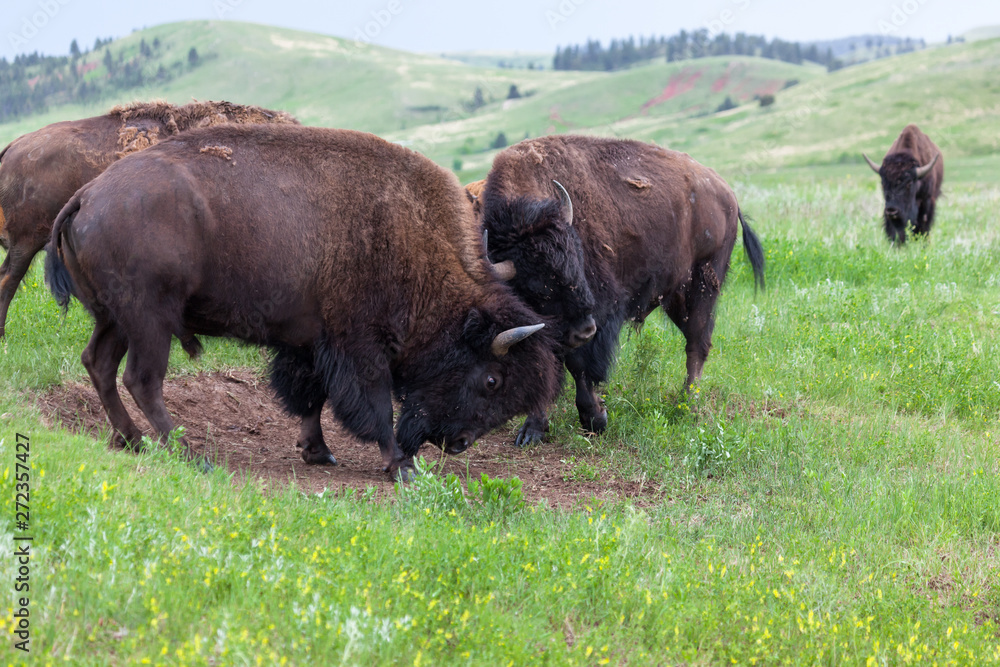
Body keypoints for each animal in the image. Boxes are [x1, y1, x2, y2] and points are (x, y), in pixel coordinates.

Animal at [45, 124, 564, 480]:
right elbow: (374, 406)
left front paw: (319, 452)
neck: (410, 237)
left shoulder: (309, 344)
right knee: (142, 379)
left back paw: (130, 440)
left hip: (115, 320)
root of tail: (87, 195)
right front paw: (400, 466)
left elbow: (310, 397)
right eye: (493, 380)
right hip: (149, 320)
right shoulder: (359, 347)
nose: (457, 443)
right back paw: (188, 455)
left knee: (98, 363)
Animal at [476, 135, 764, 446]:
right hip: (675, 295)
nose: (584, 331)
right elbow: (546, 367)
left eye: (577, 261)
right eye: (537, 288)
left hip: (704, 283)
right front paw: (532, 430)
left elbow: (578, 364)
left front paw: (595, 419)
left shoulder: (600, 312)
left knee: (697, 343)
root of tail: (727, 194)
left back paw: (687, 405)